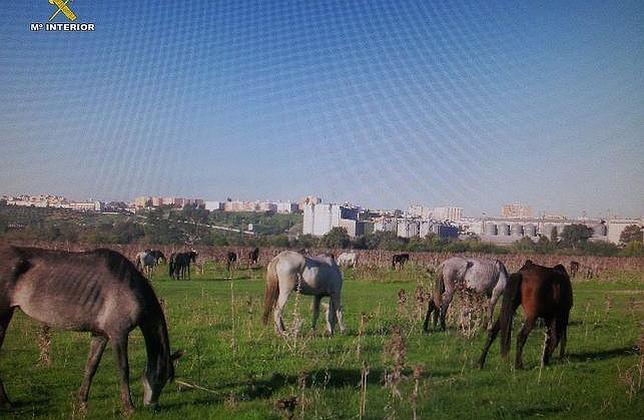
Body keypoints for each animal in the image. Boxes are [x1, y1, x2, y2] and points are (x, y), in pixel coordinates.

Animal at [0, 244, 182, 412]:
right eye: (162, 378)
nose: (153, 406)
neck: (131, 288)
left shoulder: (100, 334)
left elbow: (91, 366)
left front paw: (81, 400)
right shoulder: (119, 333)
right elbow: (123, 369)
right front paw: (128, 407)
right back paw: (7, 403)